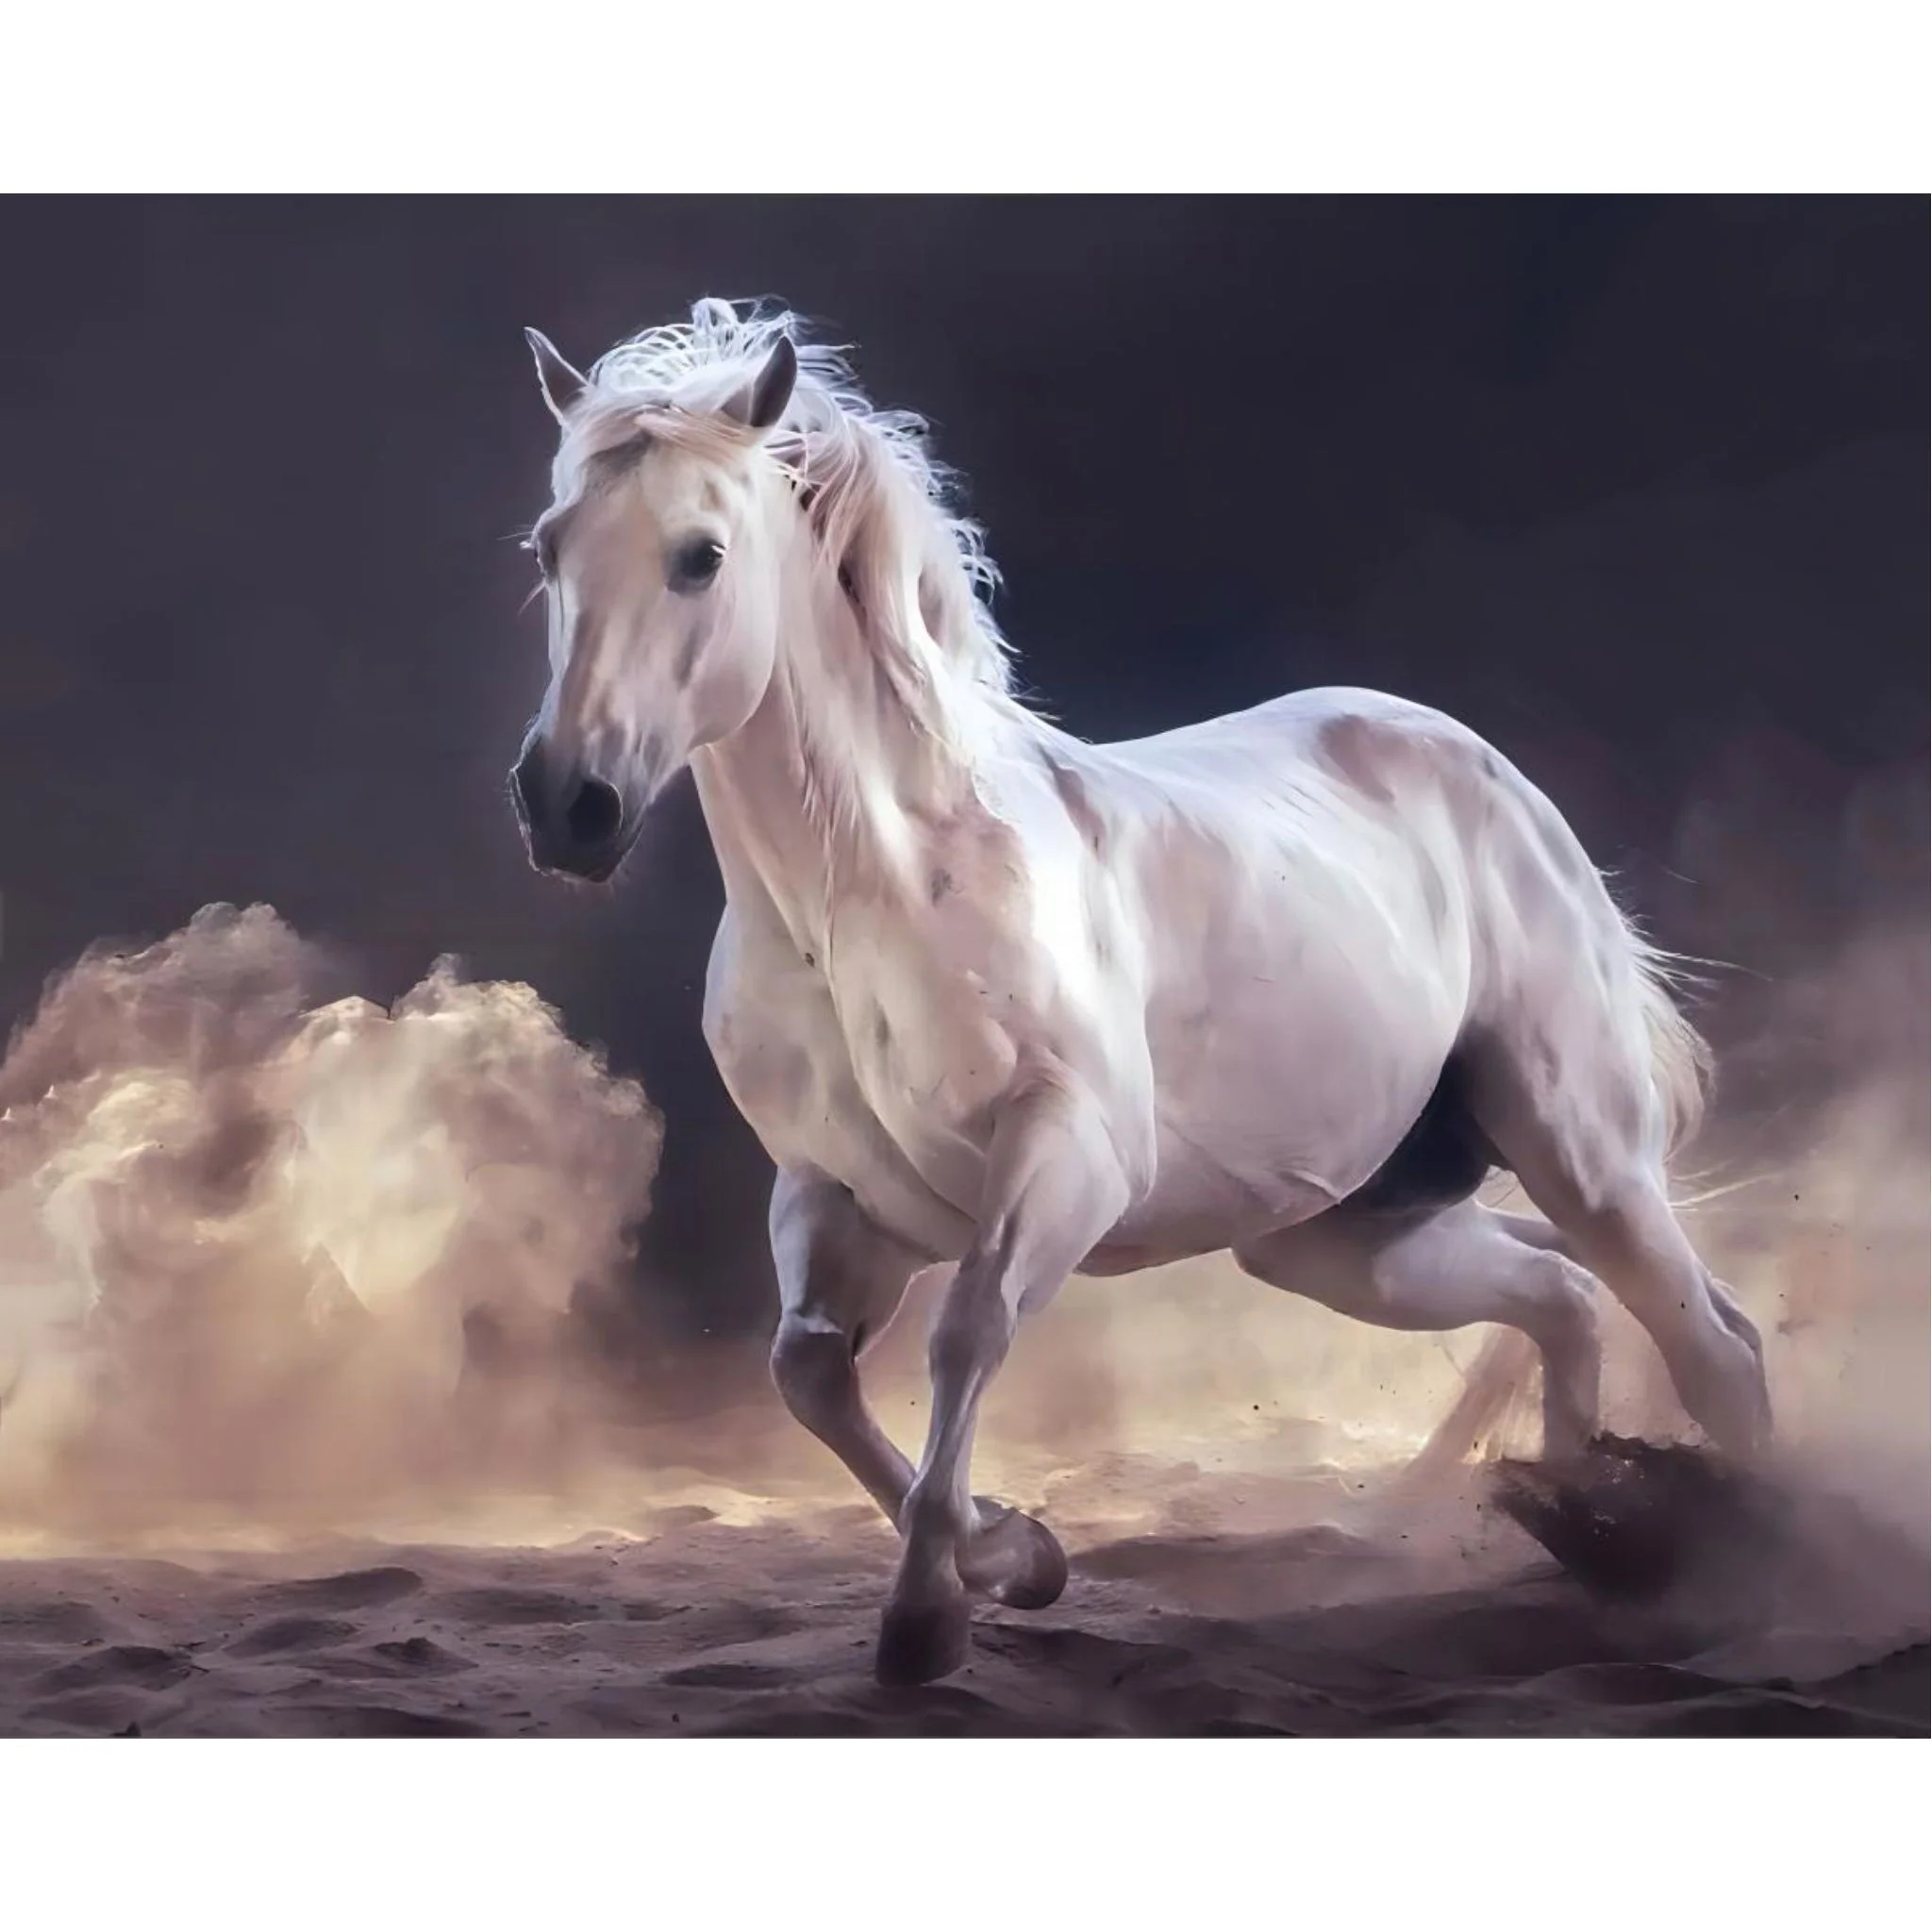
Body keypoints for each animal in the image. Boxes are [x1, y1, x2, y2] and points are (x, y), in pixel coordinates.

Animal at [505, 297, 1772, 1685]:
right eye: (551, 548)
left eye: (700, 555)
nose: (566, 805)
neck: (867, 898)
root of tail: (1493, 773)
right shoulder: (838, 1195)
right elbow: (808, 1373)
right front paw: (1018, 1556)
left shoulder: (1071, 1157)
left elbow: (965, 1331)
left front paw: (929, 1615)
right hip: (1340, 1235)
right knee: (1563, 1301)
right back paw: (1587, 1530)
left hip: (1577, 1147)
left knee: (1711, 1344)